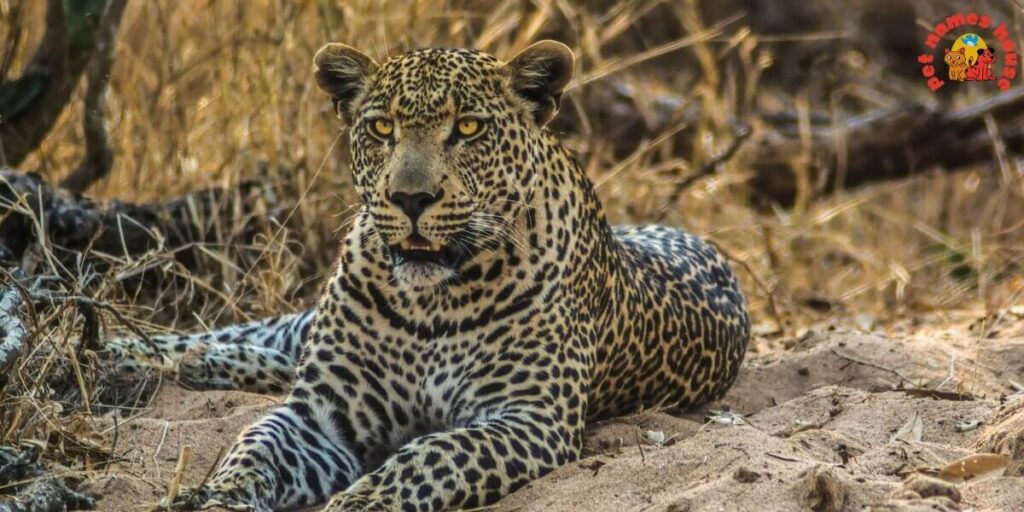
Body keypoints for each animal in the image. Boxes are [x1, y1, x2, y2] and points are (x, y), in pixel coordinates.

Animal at [106, 40, 750, 512]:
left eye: (467, 129)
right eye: (381, 129)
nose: (410, 198)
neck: (430, 301)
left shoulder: (527, 417)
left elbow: (431, 456)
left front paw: (359, 503)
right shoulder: (321, 414)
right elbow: (253, 447)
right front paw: (218, 495)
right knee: (256, 334)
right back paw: (128, 354)